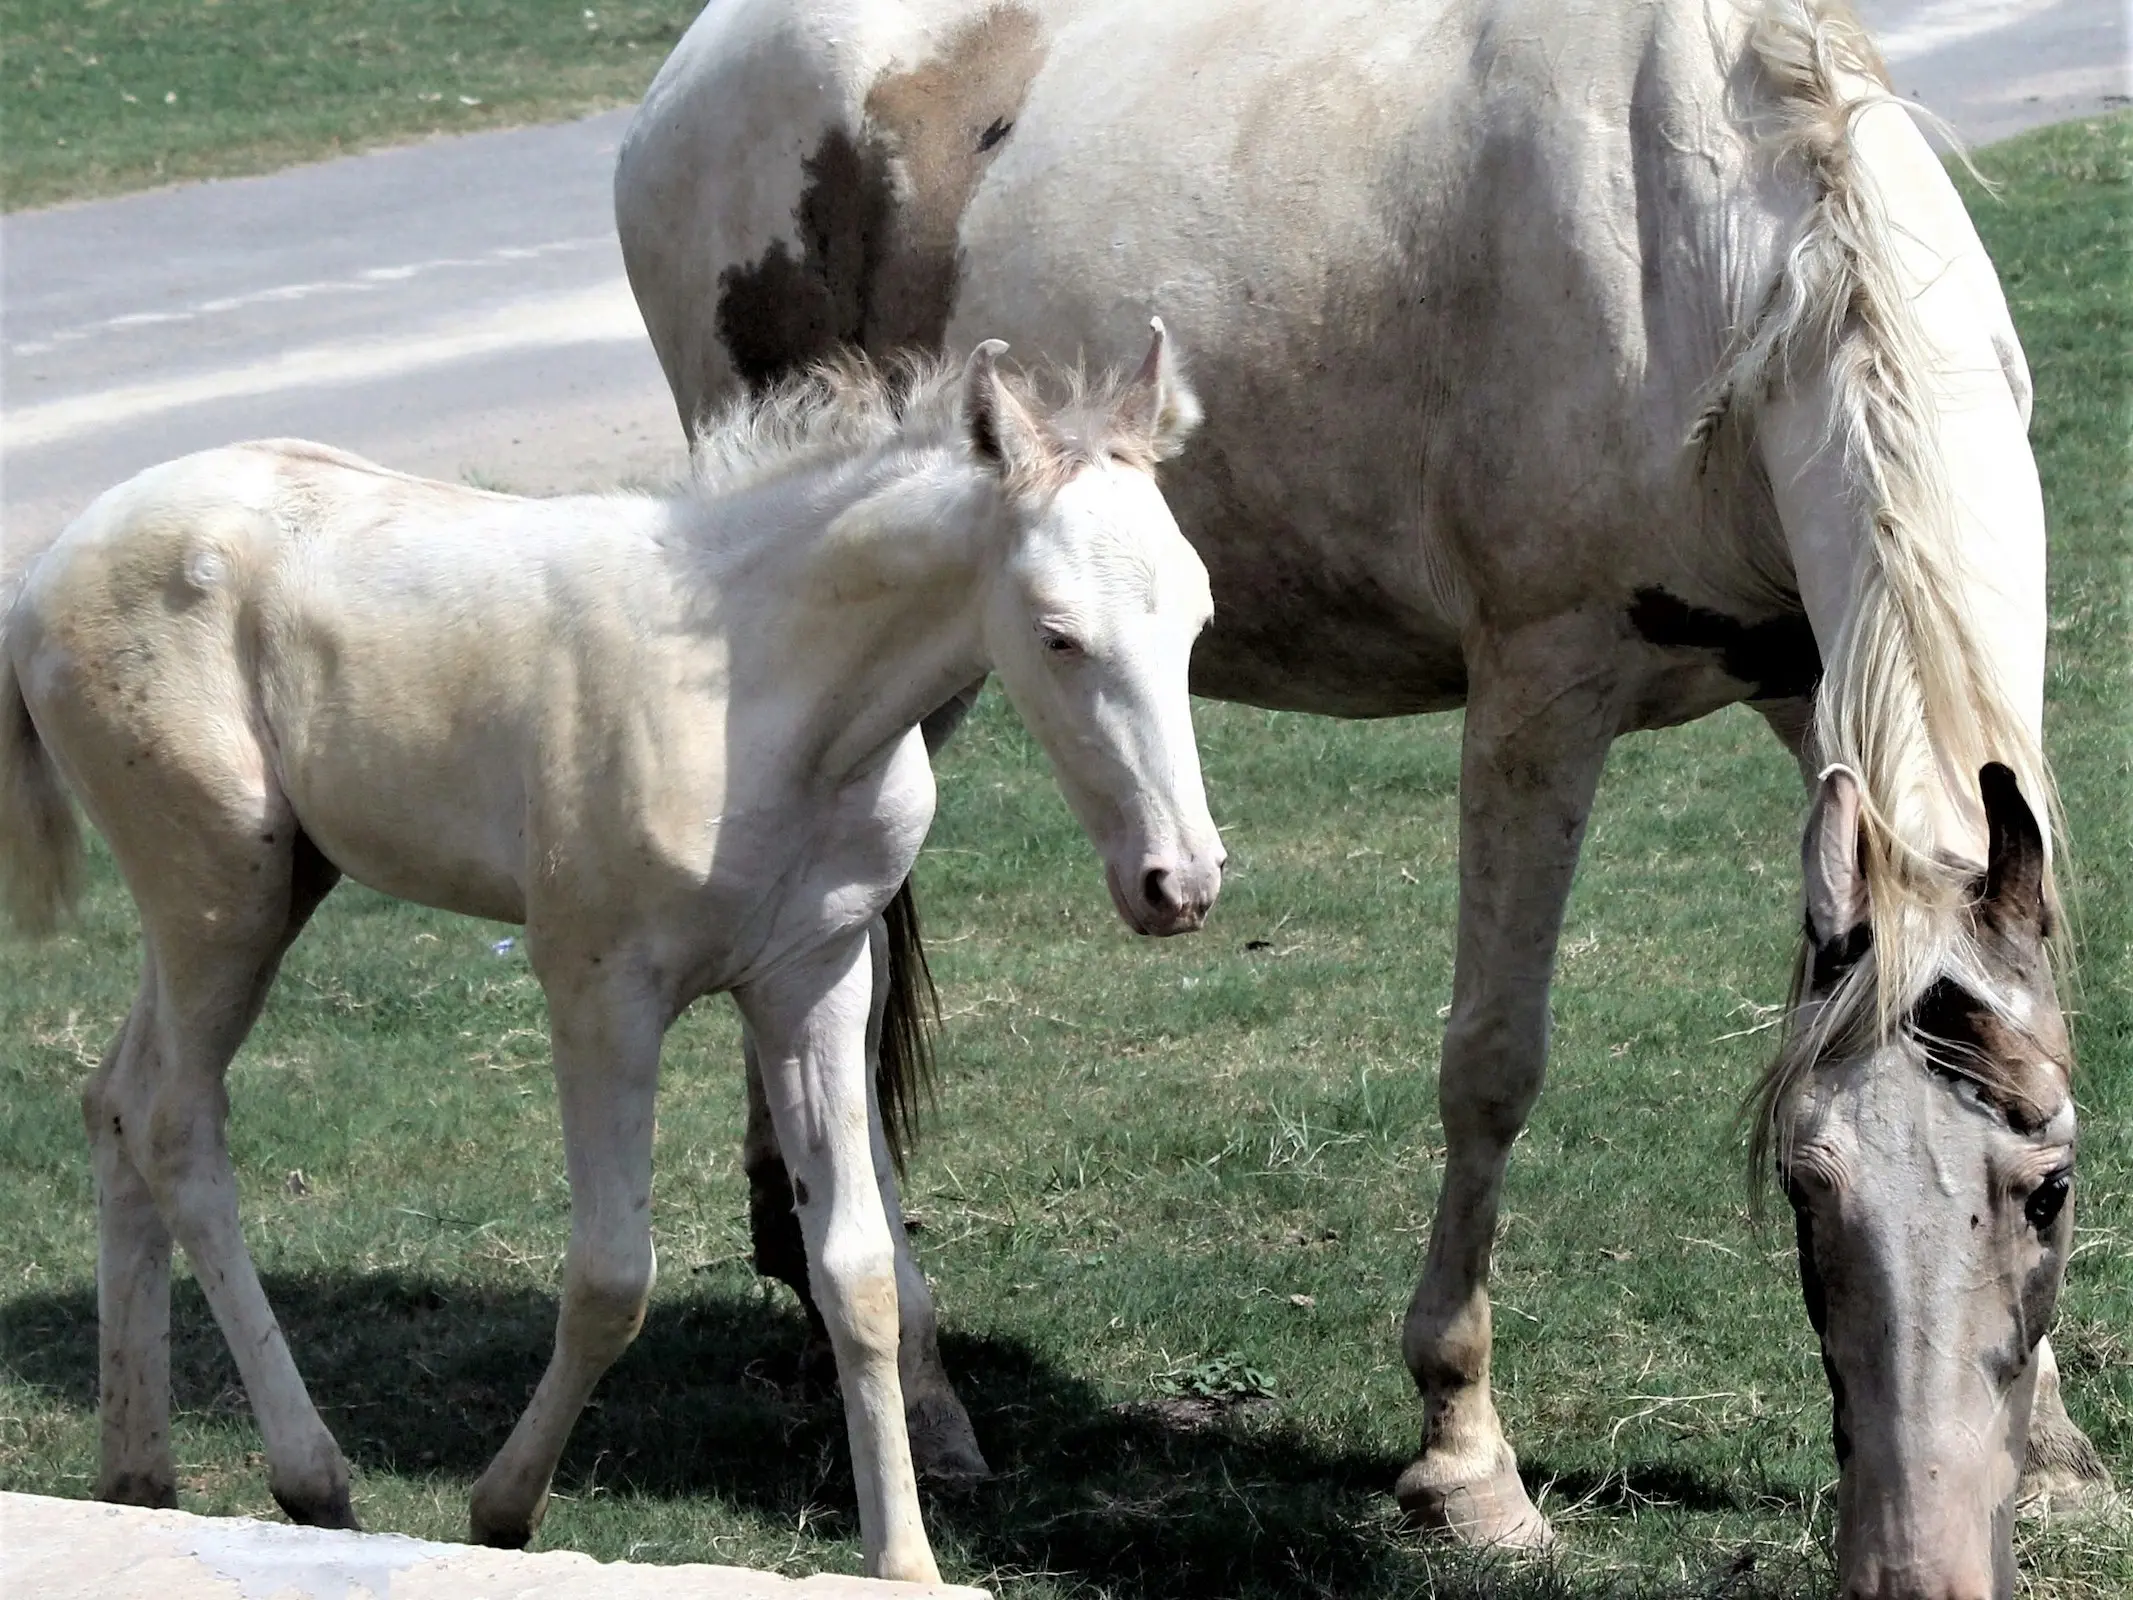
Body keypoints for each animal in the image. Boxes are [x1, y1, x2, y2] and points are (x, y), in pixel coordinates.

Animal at [618, 0, 2115, 1595]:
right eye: (1804, 1186)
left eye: (2050, 1185)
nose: (1922, 1565)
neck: (1726, 253)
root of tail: (690, 76)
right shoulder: (1539, 689)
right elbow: (1493, 1063)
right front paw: (1466, 1464)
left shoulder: (1803, 686)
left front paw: (2057, 1450)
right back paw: (927, 1402)